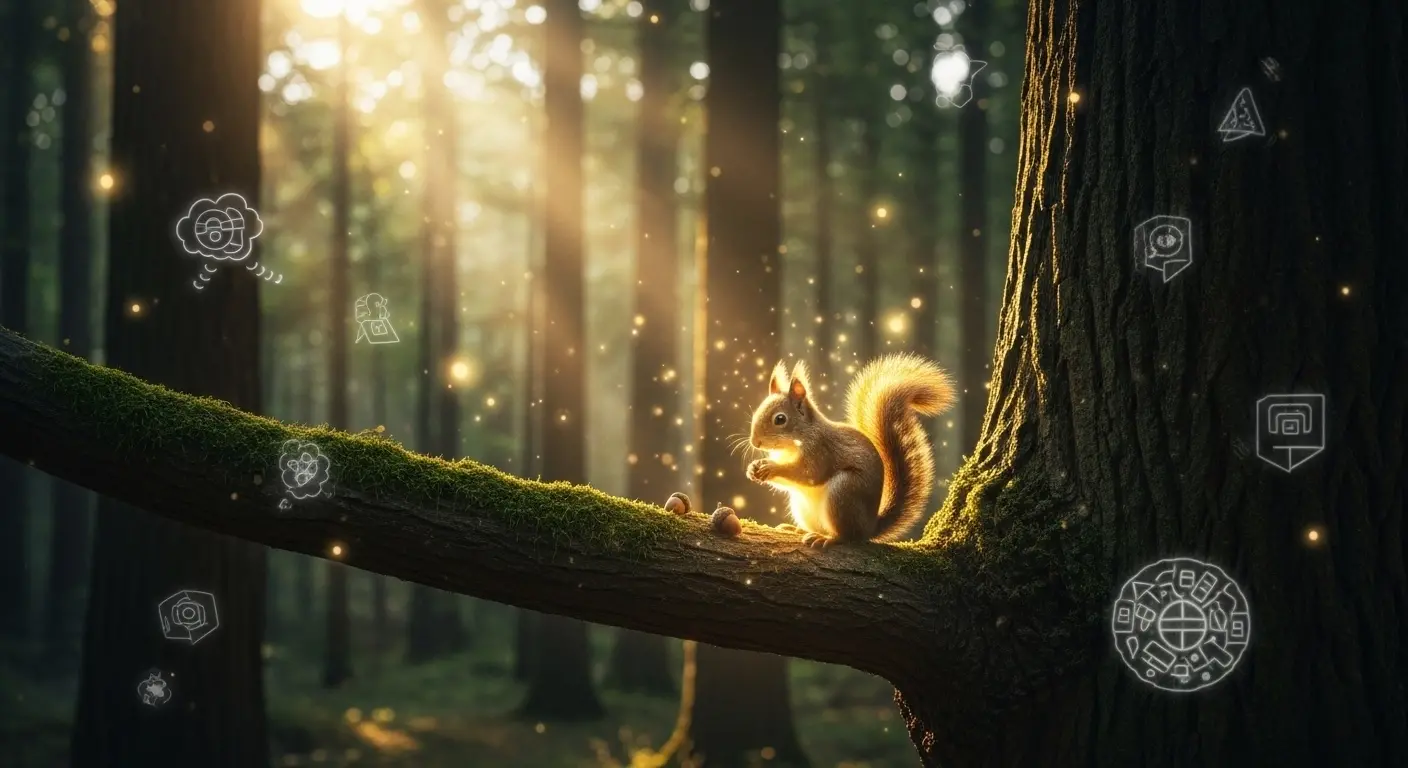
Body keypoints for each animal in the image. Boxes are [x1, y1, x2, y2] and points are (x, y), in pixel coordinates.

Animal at [744, 354, 956, 548]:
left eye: (780, 419)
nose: (755, 442)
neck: (792, 445)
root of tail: (870, 527)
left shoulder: (820, 451)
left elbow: (807, 473)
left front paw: (772, 467)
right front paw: (753, 468)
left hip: (844, 492)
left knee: (848, 536)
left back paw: (827, 538)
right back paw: (799, 529)